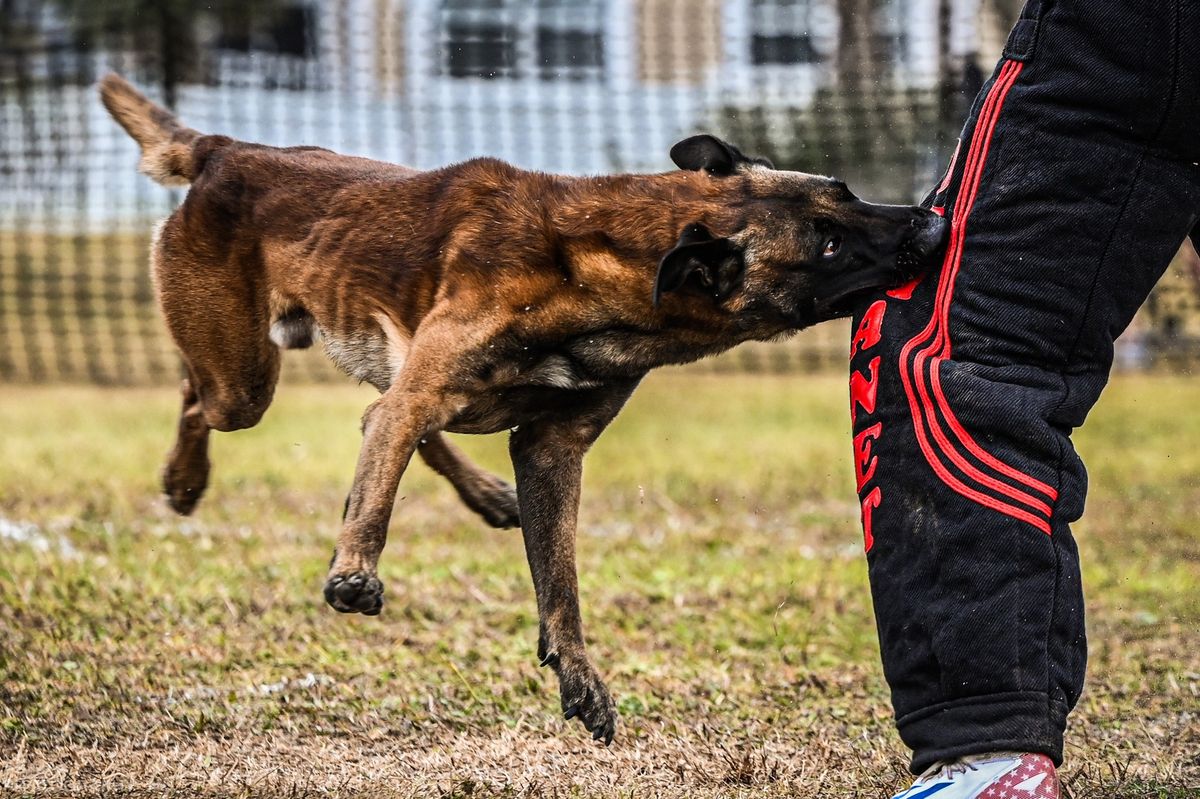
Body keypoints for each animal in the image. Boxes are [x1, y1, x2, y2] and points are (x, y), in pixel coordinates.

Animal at [100, 73, 945, 739]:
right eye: (827, 244)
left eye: (845, 190)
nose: (933, 221)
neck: (592, 268)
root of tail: (225, 148)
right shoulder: (440, 388)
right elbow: (385, 483)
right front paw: (354, 571)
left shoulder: (548, 448)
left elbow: (558, 580)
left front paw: (577, 675)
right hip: (243, 380)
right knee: (213, 399)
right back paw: (185, 480)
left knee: (382, 420)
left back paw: (481, 494)